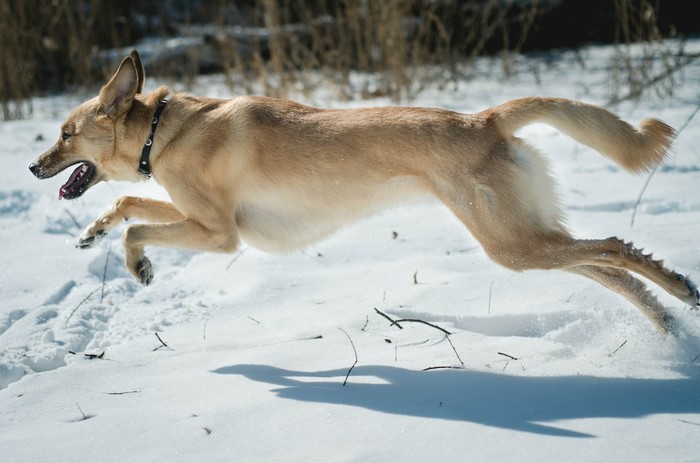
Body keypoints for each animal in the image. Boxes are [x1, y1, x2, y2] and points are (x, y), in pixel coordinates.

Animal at [30, 49, 696, 334]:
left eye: (65, 134)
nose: (35, 167)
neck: (162, 129)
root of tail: (483, 118)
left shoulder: (219, 235)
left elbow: (138, 225)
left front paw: (138, 266)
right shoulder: (194, 215)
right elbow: (126, 203)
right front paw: (90, 232)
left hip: (510, 242)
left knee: (612, 248)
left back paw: (679, 293)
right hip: (521, 237)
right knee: (606, 264)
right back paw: (665, 323)